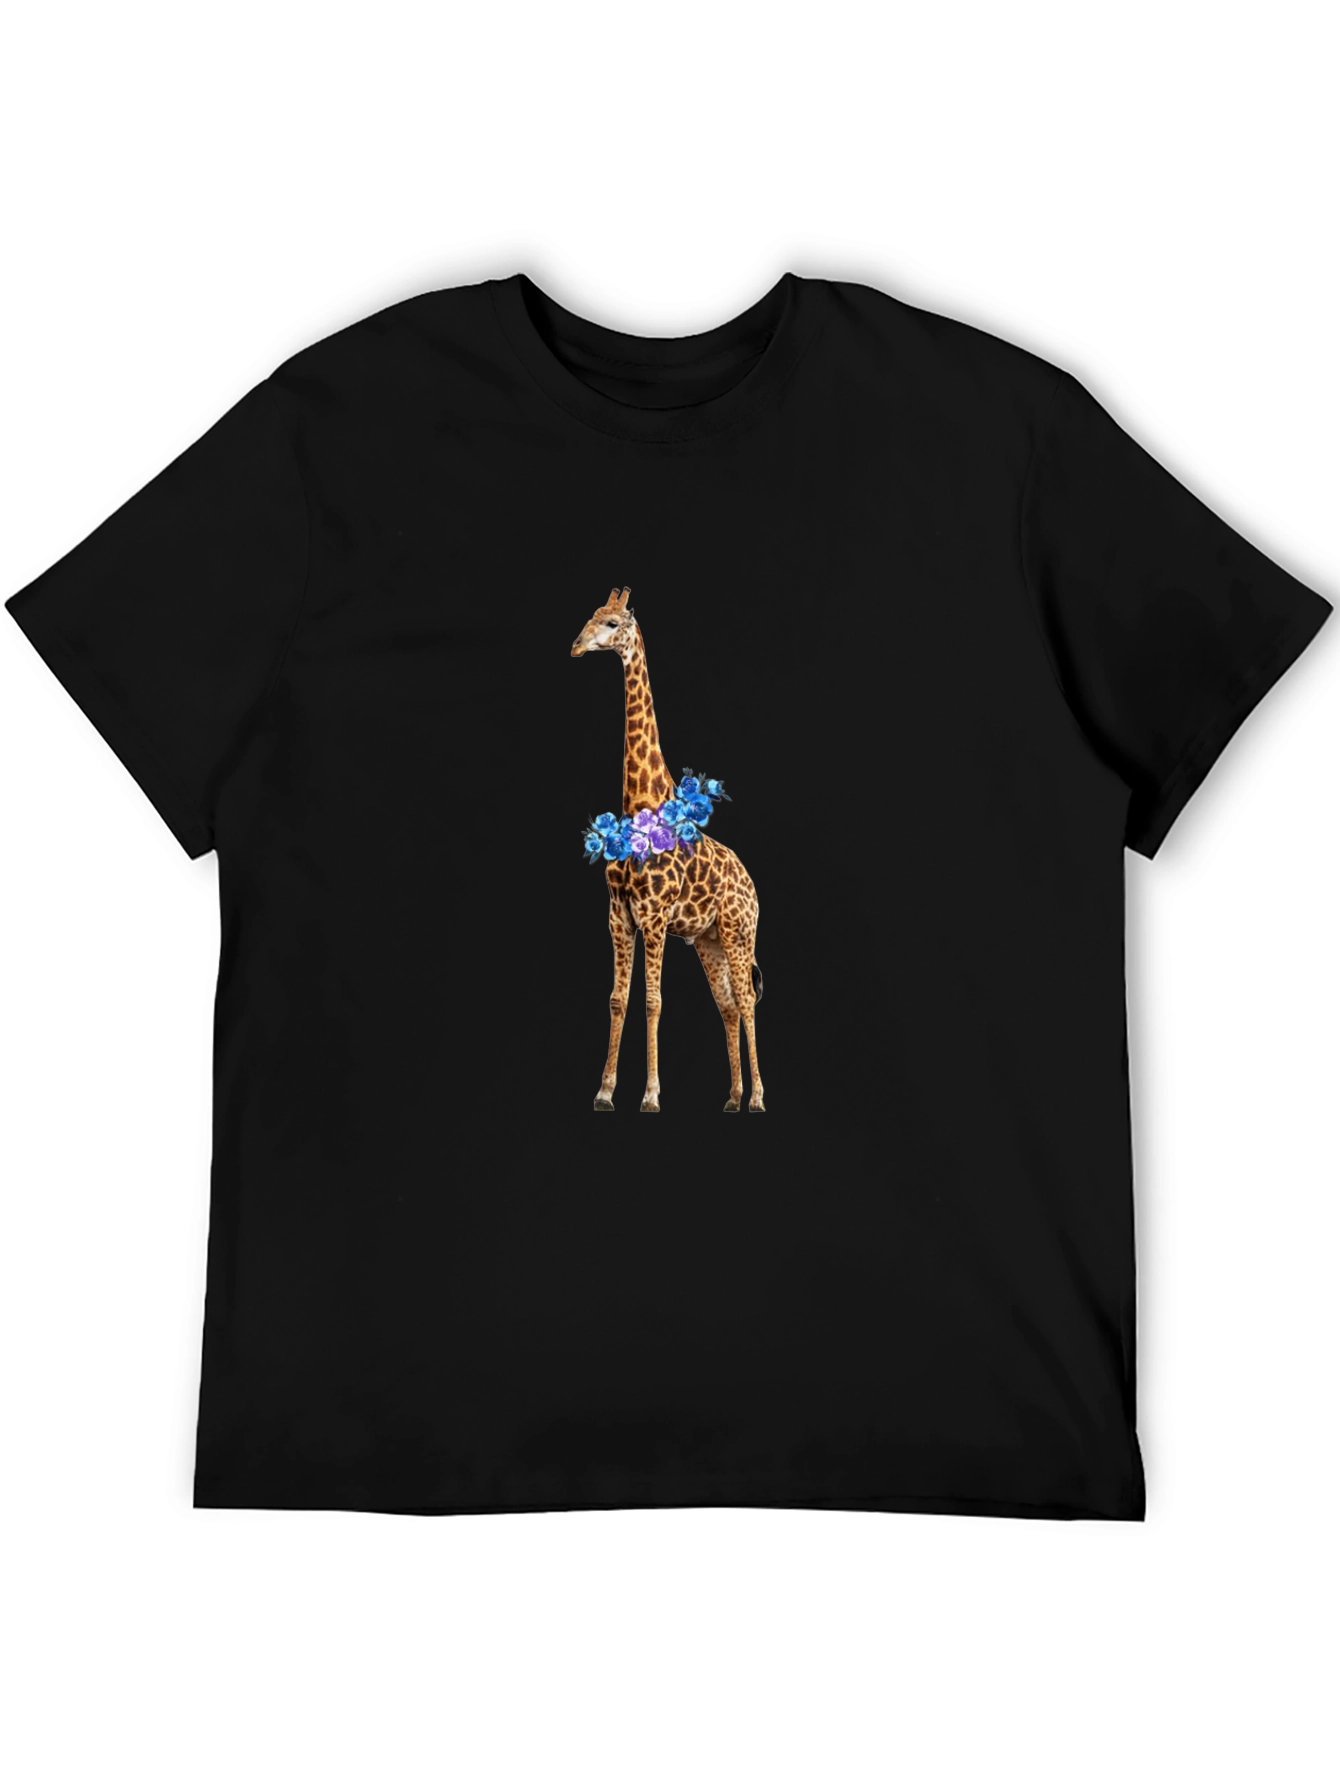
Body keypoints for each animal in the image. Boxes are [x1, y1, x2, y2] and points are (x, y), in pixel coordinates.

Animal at [572, 588, 764, 1114]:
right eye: (592, 616)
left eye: (613, 622)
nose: (576, 647)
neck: (643, 801)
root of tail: (753, 888)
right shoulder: (618, 915)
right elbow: (618, 999)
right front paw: (604, 1091)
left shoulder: (654, 915)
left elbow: (653, 1001)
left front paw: (651, 1094)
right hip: (710, 941)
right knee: (728, 1006)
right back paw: (733, 1096)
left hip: (739, 933)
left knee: (747, 1000)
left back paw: (758, 1097)